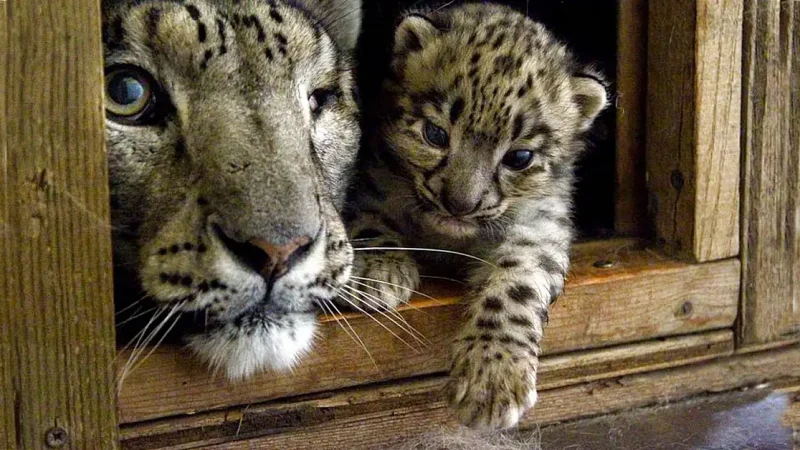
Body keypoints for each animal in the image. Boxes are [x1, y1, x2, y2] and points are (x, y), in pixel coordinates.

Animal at [348, 4, 608, 432]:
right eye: (435, 133)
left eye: (519, 157)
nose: (460, 204)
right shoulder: (367, 180)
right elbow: (367, 216)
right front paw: (380, 270)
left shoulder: (538, 227)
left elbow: (518, 283)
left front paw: (492, 379)